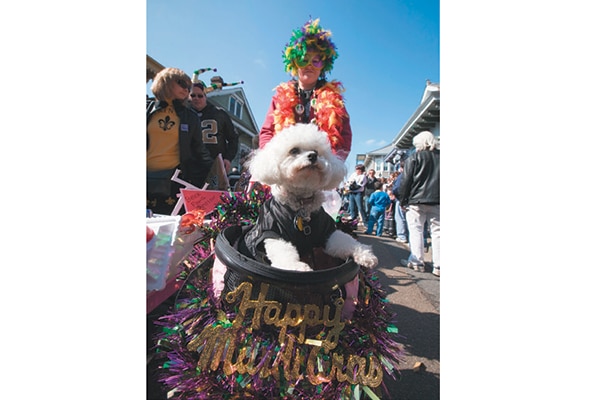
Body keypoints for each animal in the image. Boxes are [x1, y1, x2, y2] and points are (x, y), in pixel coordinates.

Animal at [240, 122, 378, 272]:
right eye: (294, 150)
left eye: (316, 151)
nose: (313, 156)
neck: (302, 203)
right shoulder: (272, 231)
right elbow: (283, 251)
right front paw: (296, 266)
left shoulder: (328, 232)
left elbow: (346, 240)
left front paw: (365, 254)